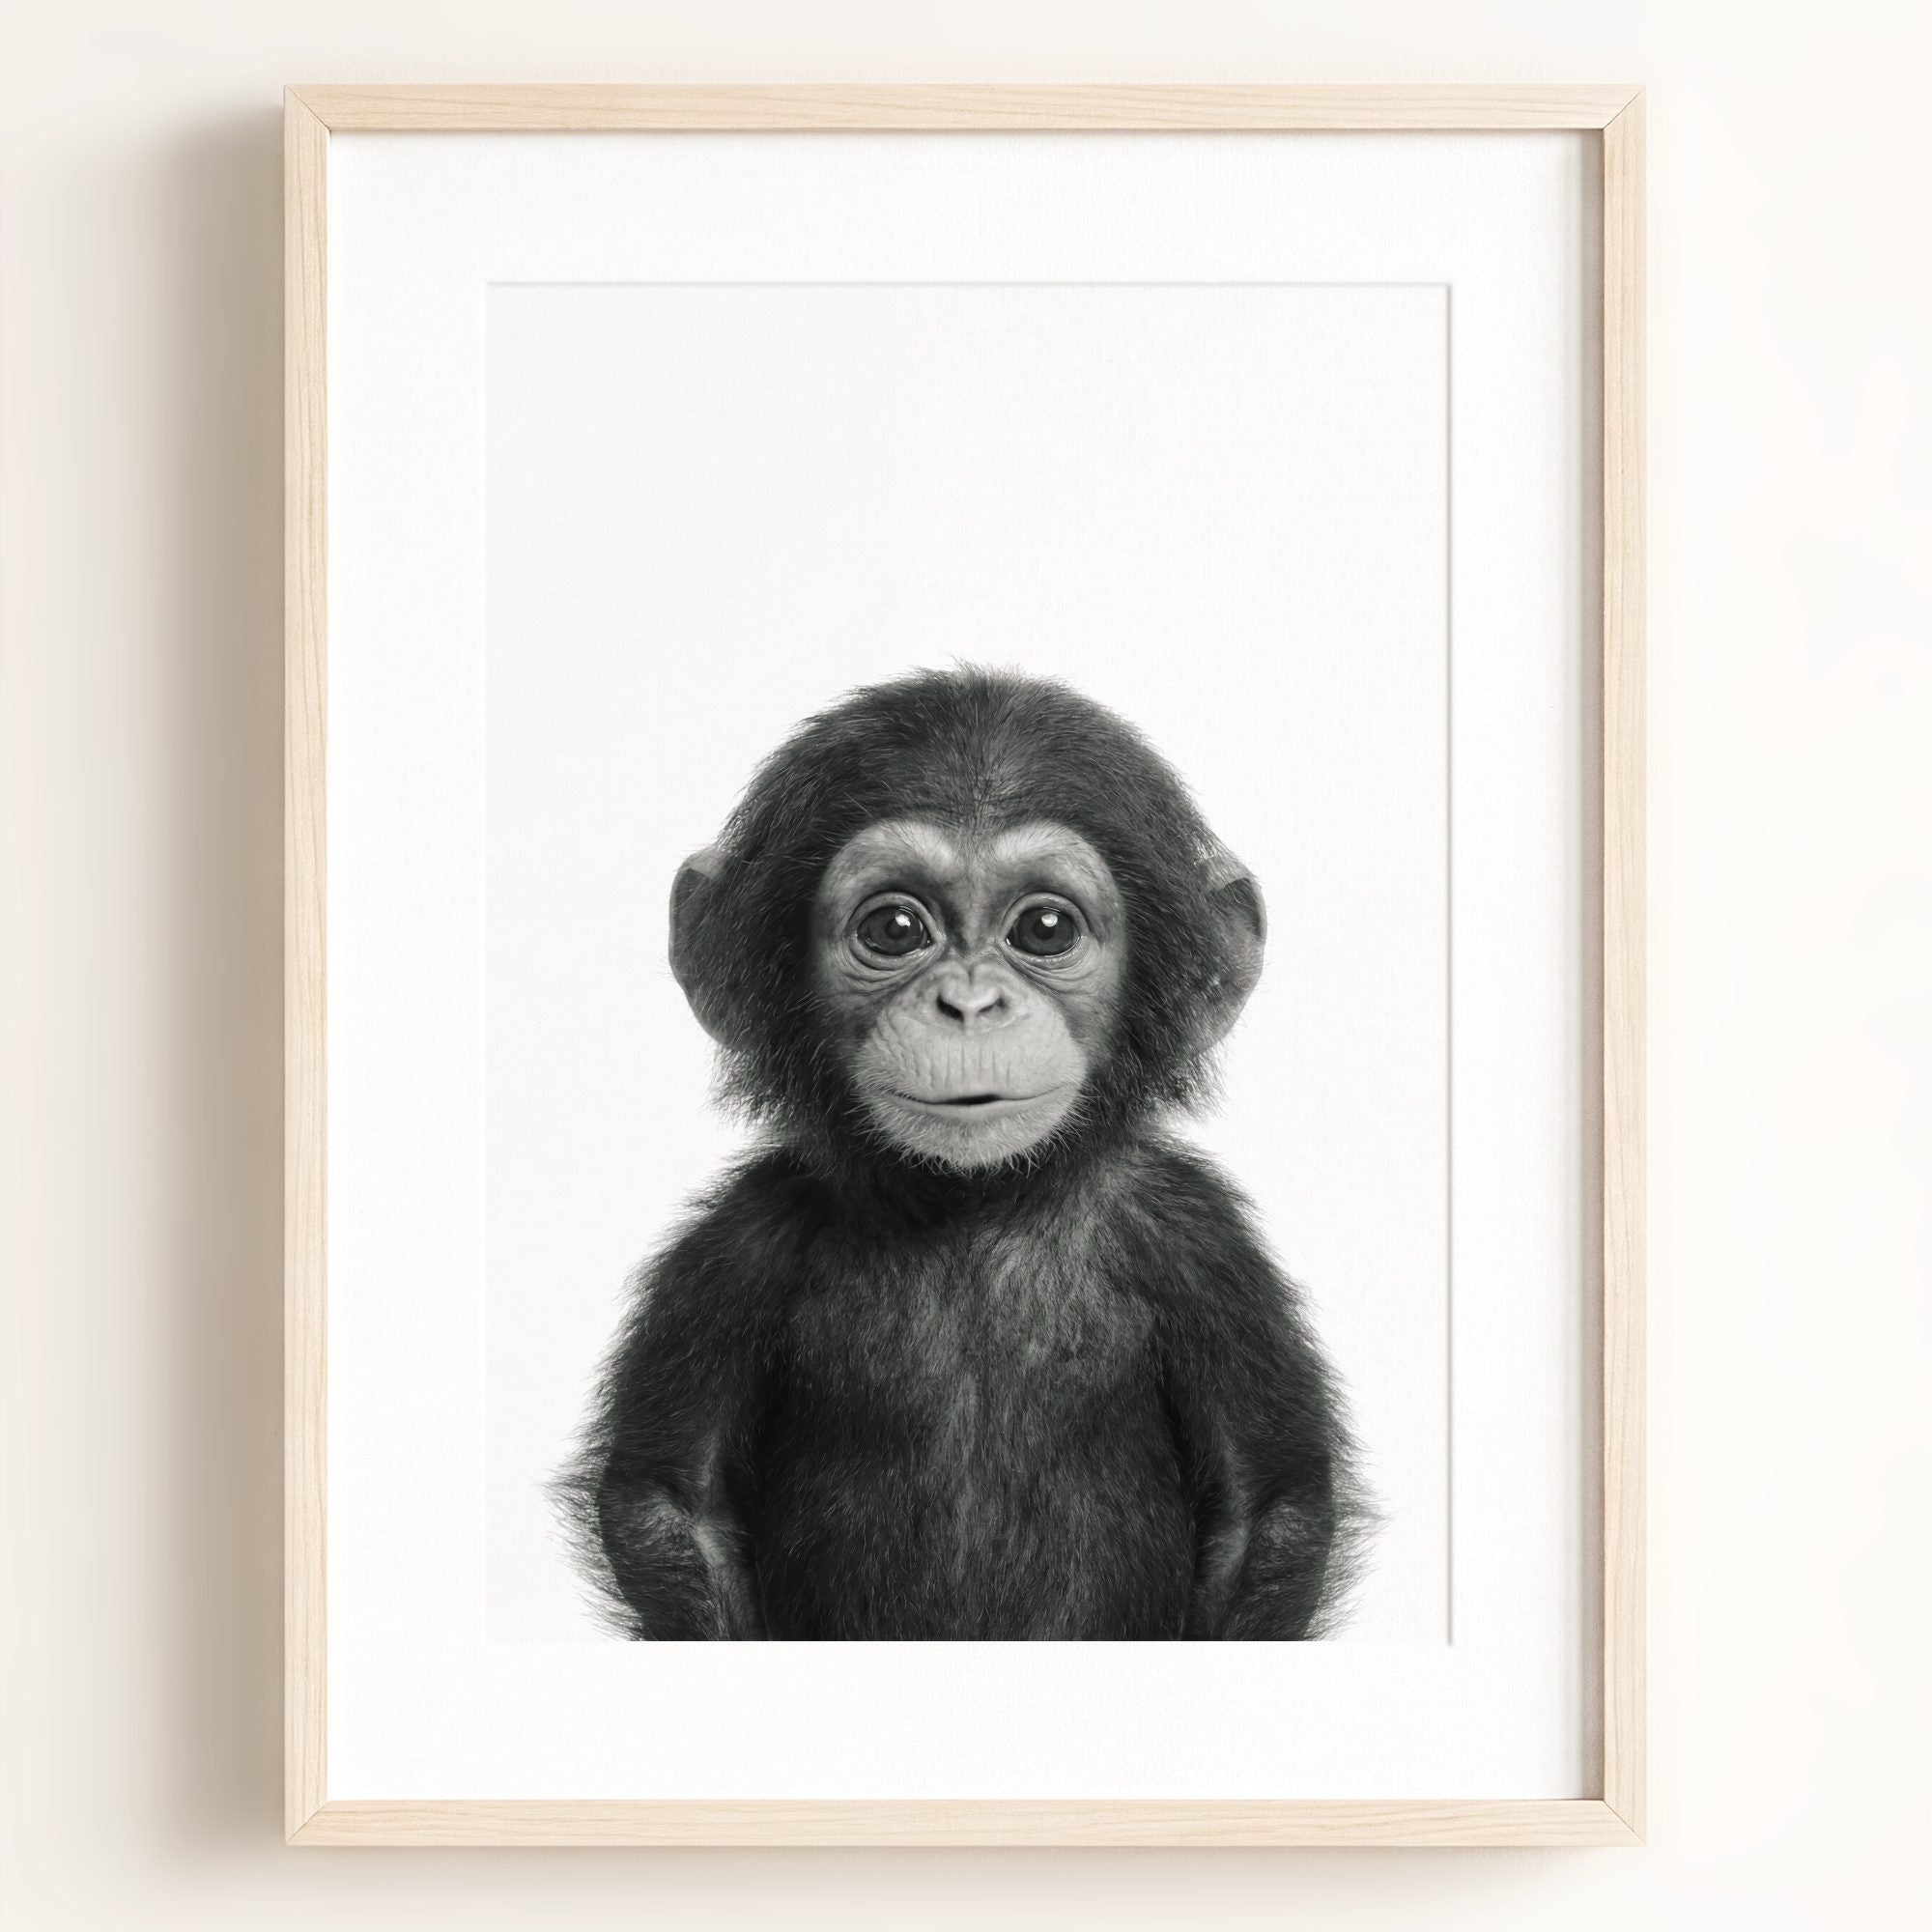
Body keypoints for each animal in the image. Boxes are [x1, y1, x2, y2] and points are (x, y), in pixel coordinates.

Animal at [566, 667, 1367, 1640]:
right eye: (896, 929)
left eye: (1046, 928)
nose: (971, 1005)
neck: (973, 1202)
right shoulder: (738, 1246)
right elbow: (673, 1505)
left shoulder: (1201, 1243)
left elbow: (1267, 1510)